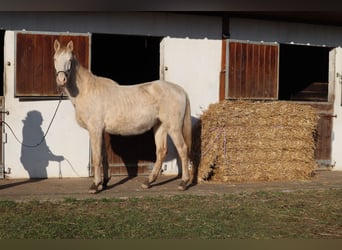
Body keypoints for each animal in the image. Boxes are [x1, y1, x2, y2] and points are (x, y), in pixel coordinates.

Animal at [53, 40, 192, 193]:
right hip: (160, 126)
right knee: (161, 151)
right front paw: (104, 182)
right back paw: (148, 182)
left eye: (70, 60)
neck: (87, 91)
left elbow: (97, 157)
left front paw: (95, 185)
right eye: (55, 59)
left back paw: (183, 183)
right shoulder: (100, 131)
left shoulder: (95, 130)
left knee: (183, 149)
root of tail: (180, 90)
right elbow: (104, 156)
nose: (61, 79)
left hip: (174, 128)